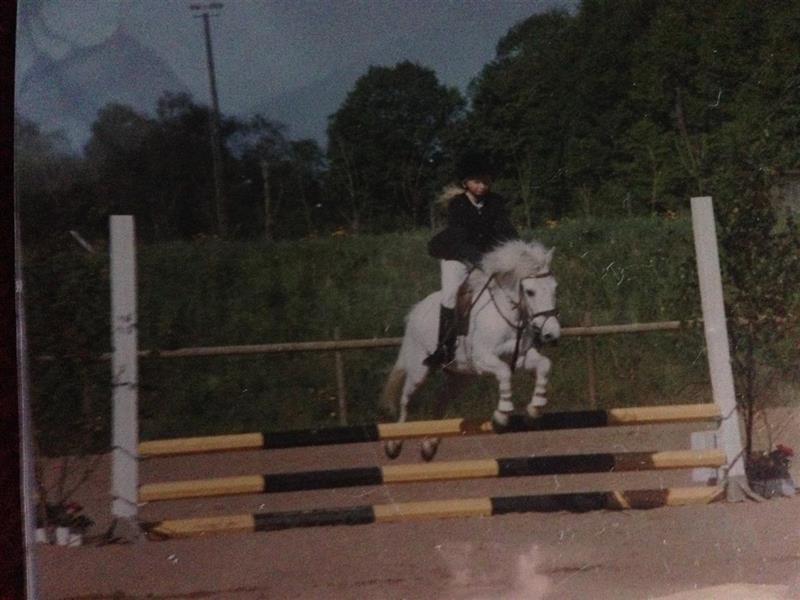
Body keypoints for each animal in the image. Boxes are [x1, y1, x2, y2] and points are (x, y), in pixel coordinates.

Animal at [380, 239, 561, 461]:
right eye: (530, 292)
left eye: (554, 288)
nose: (551, 333)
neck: (509, 316)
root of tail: (416, 311)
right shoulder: (482, 359)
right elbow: (504, 373)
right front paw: (502, 415)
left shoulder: (519, 357)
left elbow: (544, 365)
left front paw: (535, 409)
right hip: (419, 371)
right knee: (407, 400)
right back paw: (394, 444)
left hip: (459, 377)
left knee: (440, 403)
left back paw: (429, 445)